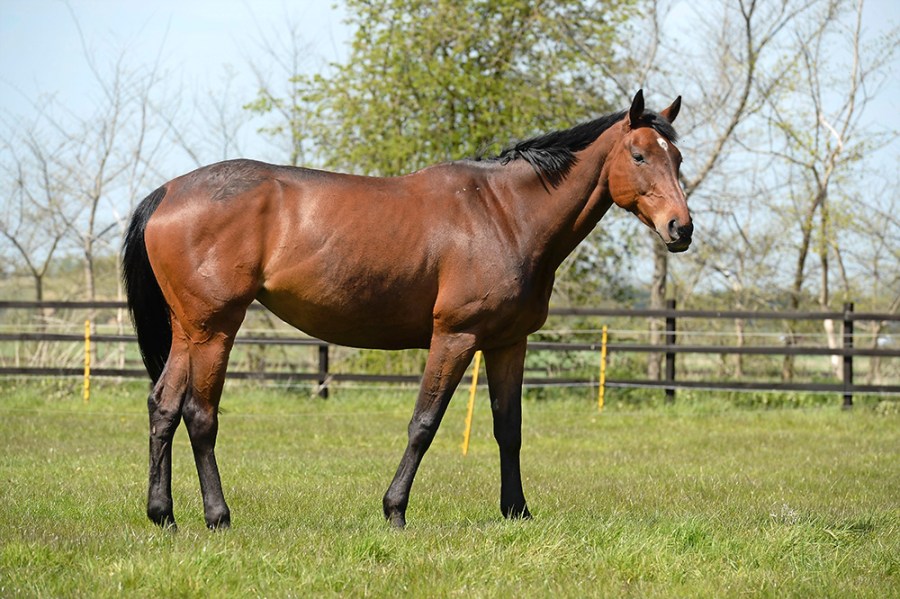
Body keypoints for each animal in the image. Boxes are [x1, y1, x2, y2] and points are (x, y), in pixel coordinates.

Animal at [123, 89, 692, 528]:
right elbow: (424, 423)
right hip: (215, 329)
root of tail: (167, 192)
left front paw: (517, 512)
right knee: (200, 415)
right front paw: (394, 509)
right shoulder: (455, 337)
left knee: (163, 408)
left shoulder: (508, 342)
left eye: (678, 159)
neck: (506, 214)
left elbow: (508, 428)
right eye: (639, 156)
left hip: (187, 329)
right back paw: (218, 517)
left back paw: (163, 515)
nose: (680, 228)